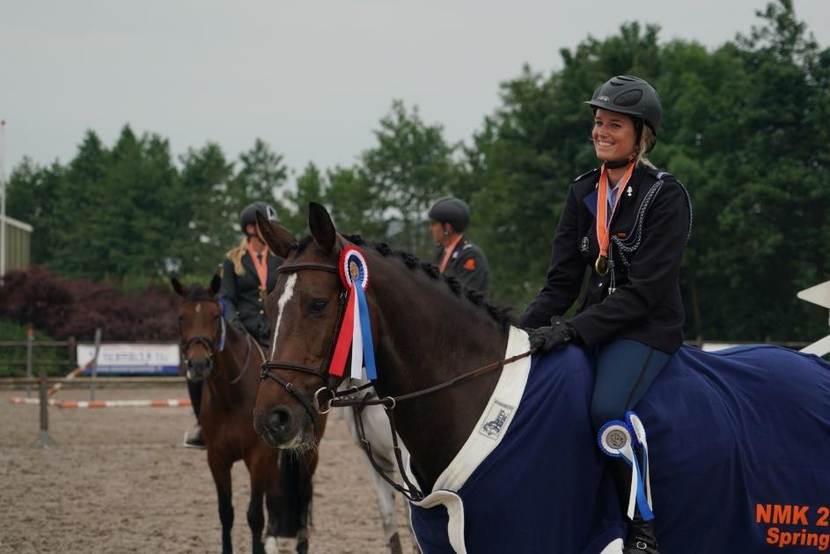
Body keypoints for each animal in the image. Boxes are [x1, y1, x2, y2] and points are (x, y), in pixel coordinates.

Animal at [173, 276, 323, 554]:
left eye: (215, 315)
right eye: (181, 317)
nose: (198, 365)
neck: (231, 394)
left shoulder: (257, 456)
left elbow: (254, 515)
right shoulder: (217, 459)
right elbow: (226, 512)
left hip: (306, 453)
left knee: (304, 493)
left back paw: (301, 543)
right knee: (275, 494)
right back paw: (272, 541)